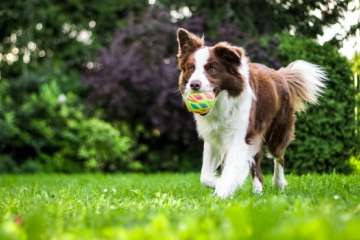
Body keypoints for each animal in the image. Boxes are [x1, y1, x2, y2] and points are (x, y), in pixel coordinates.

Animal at [176, 27, 328, 199]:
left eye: (212, 68)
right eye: (191, 68)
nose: (194, 84)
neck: (222, 104)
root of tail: (280, 75)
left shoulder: (241, 136)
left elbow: (231, 169)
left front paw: (222, 191)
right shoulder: (213, 137)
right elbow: (205, 176)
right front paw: (223, 184)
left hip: (277, 132)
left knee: (279, 156)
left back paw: (279, 183)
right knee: (257, 167)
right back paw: (258, 192)